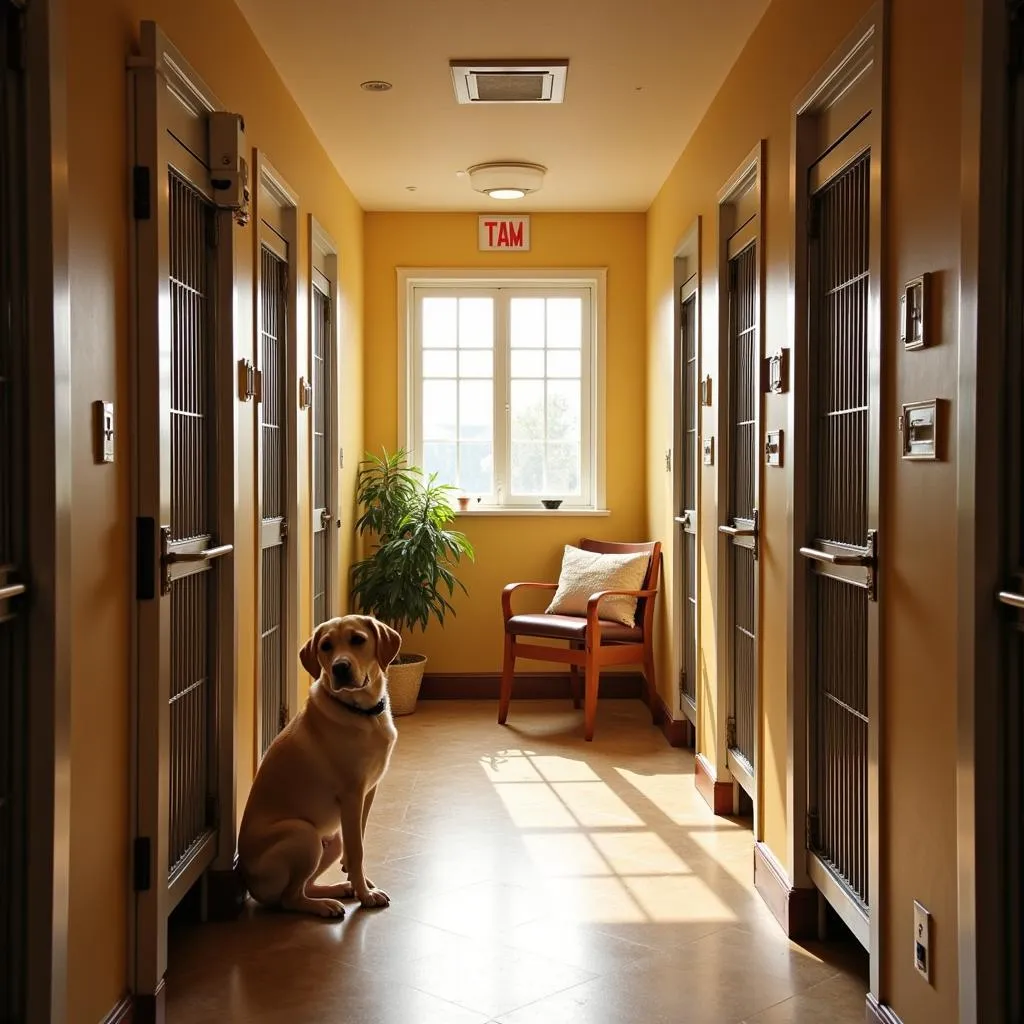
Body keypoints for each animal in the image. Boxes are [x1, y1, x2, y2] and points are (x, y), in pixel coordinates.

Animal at [238, 614, 399, 921]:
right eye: (326, 646)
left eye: (358, 640)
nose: (339, 667)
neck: (362, 714)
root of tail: (248, 881)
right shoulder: (352, 796)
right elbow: (357, 851)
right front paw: (365, 895)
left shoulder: (367, 794)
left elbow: (357, 843)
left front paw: (359, 884)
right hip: (304, 835)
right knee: (289, 899)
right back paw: (324, 906)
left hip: (331, 840)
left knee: (306, 885)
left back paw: (337, 891)